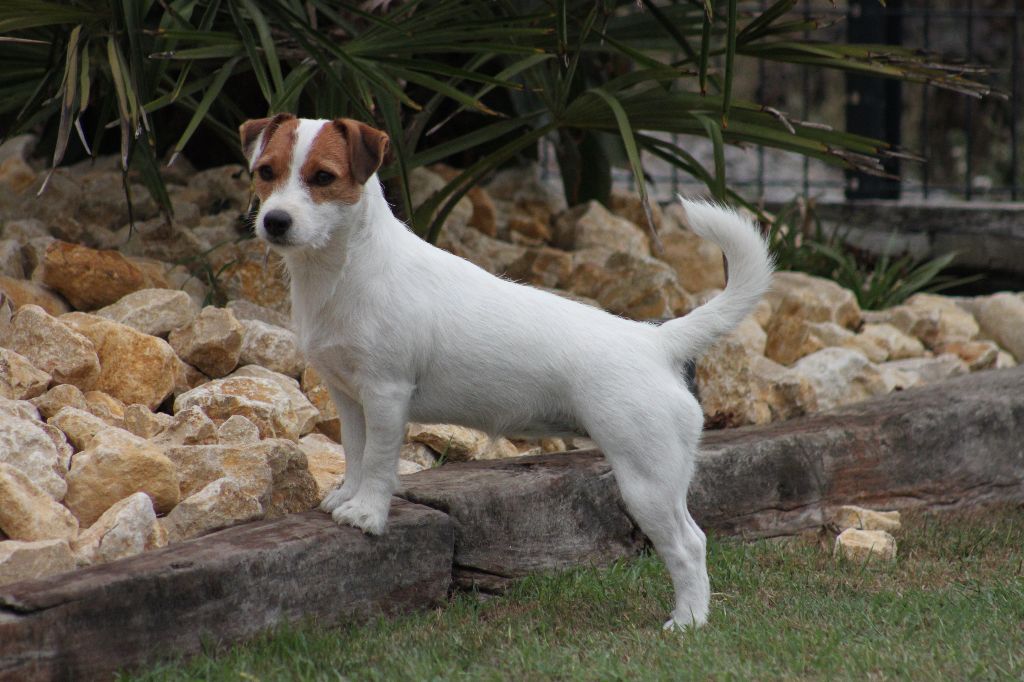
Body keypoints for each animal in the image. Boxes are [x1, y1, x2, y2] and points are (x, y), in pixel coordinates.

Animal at [239, 114, 774, 630]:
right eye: (265, 171)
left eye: (323, 178)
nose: (275, 221)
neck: (347, 269)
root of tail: (656, 341)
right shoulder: (348, 395)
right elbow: (354, 452)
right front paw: (346, 498)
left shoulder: (386, 394)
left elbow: (378, 461)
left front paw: (369, 514)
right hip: (664, 475)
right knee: (696, 536)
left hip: (646, 480)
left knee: (686, 547)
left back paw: (687, 622)